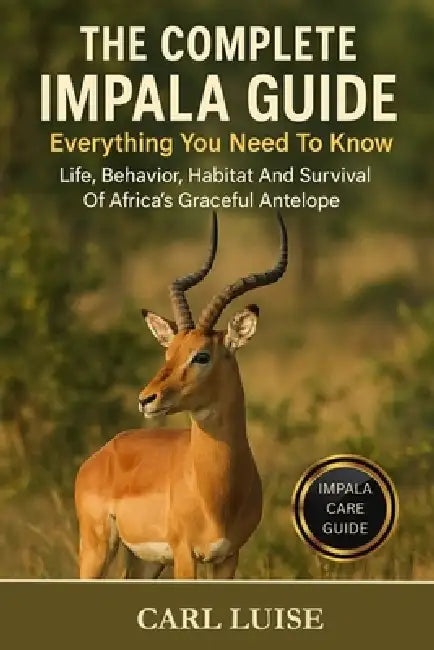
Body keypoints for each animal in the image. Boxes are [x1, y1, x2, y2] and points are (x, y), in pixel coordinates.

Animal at [75, 212, 288, 579]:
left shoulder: (227, 557)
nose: (147, 399)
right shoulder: (185, 554)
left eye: (201, 355)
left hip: (145, 561)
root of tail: (102, 454)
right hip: (97, 548)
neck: (215, 493)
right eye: (169, 352)